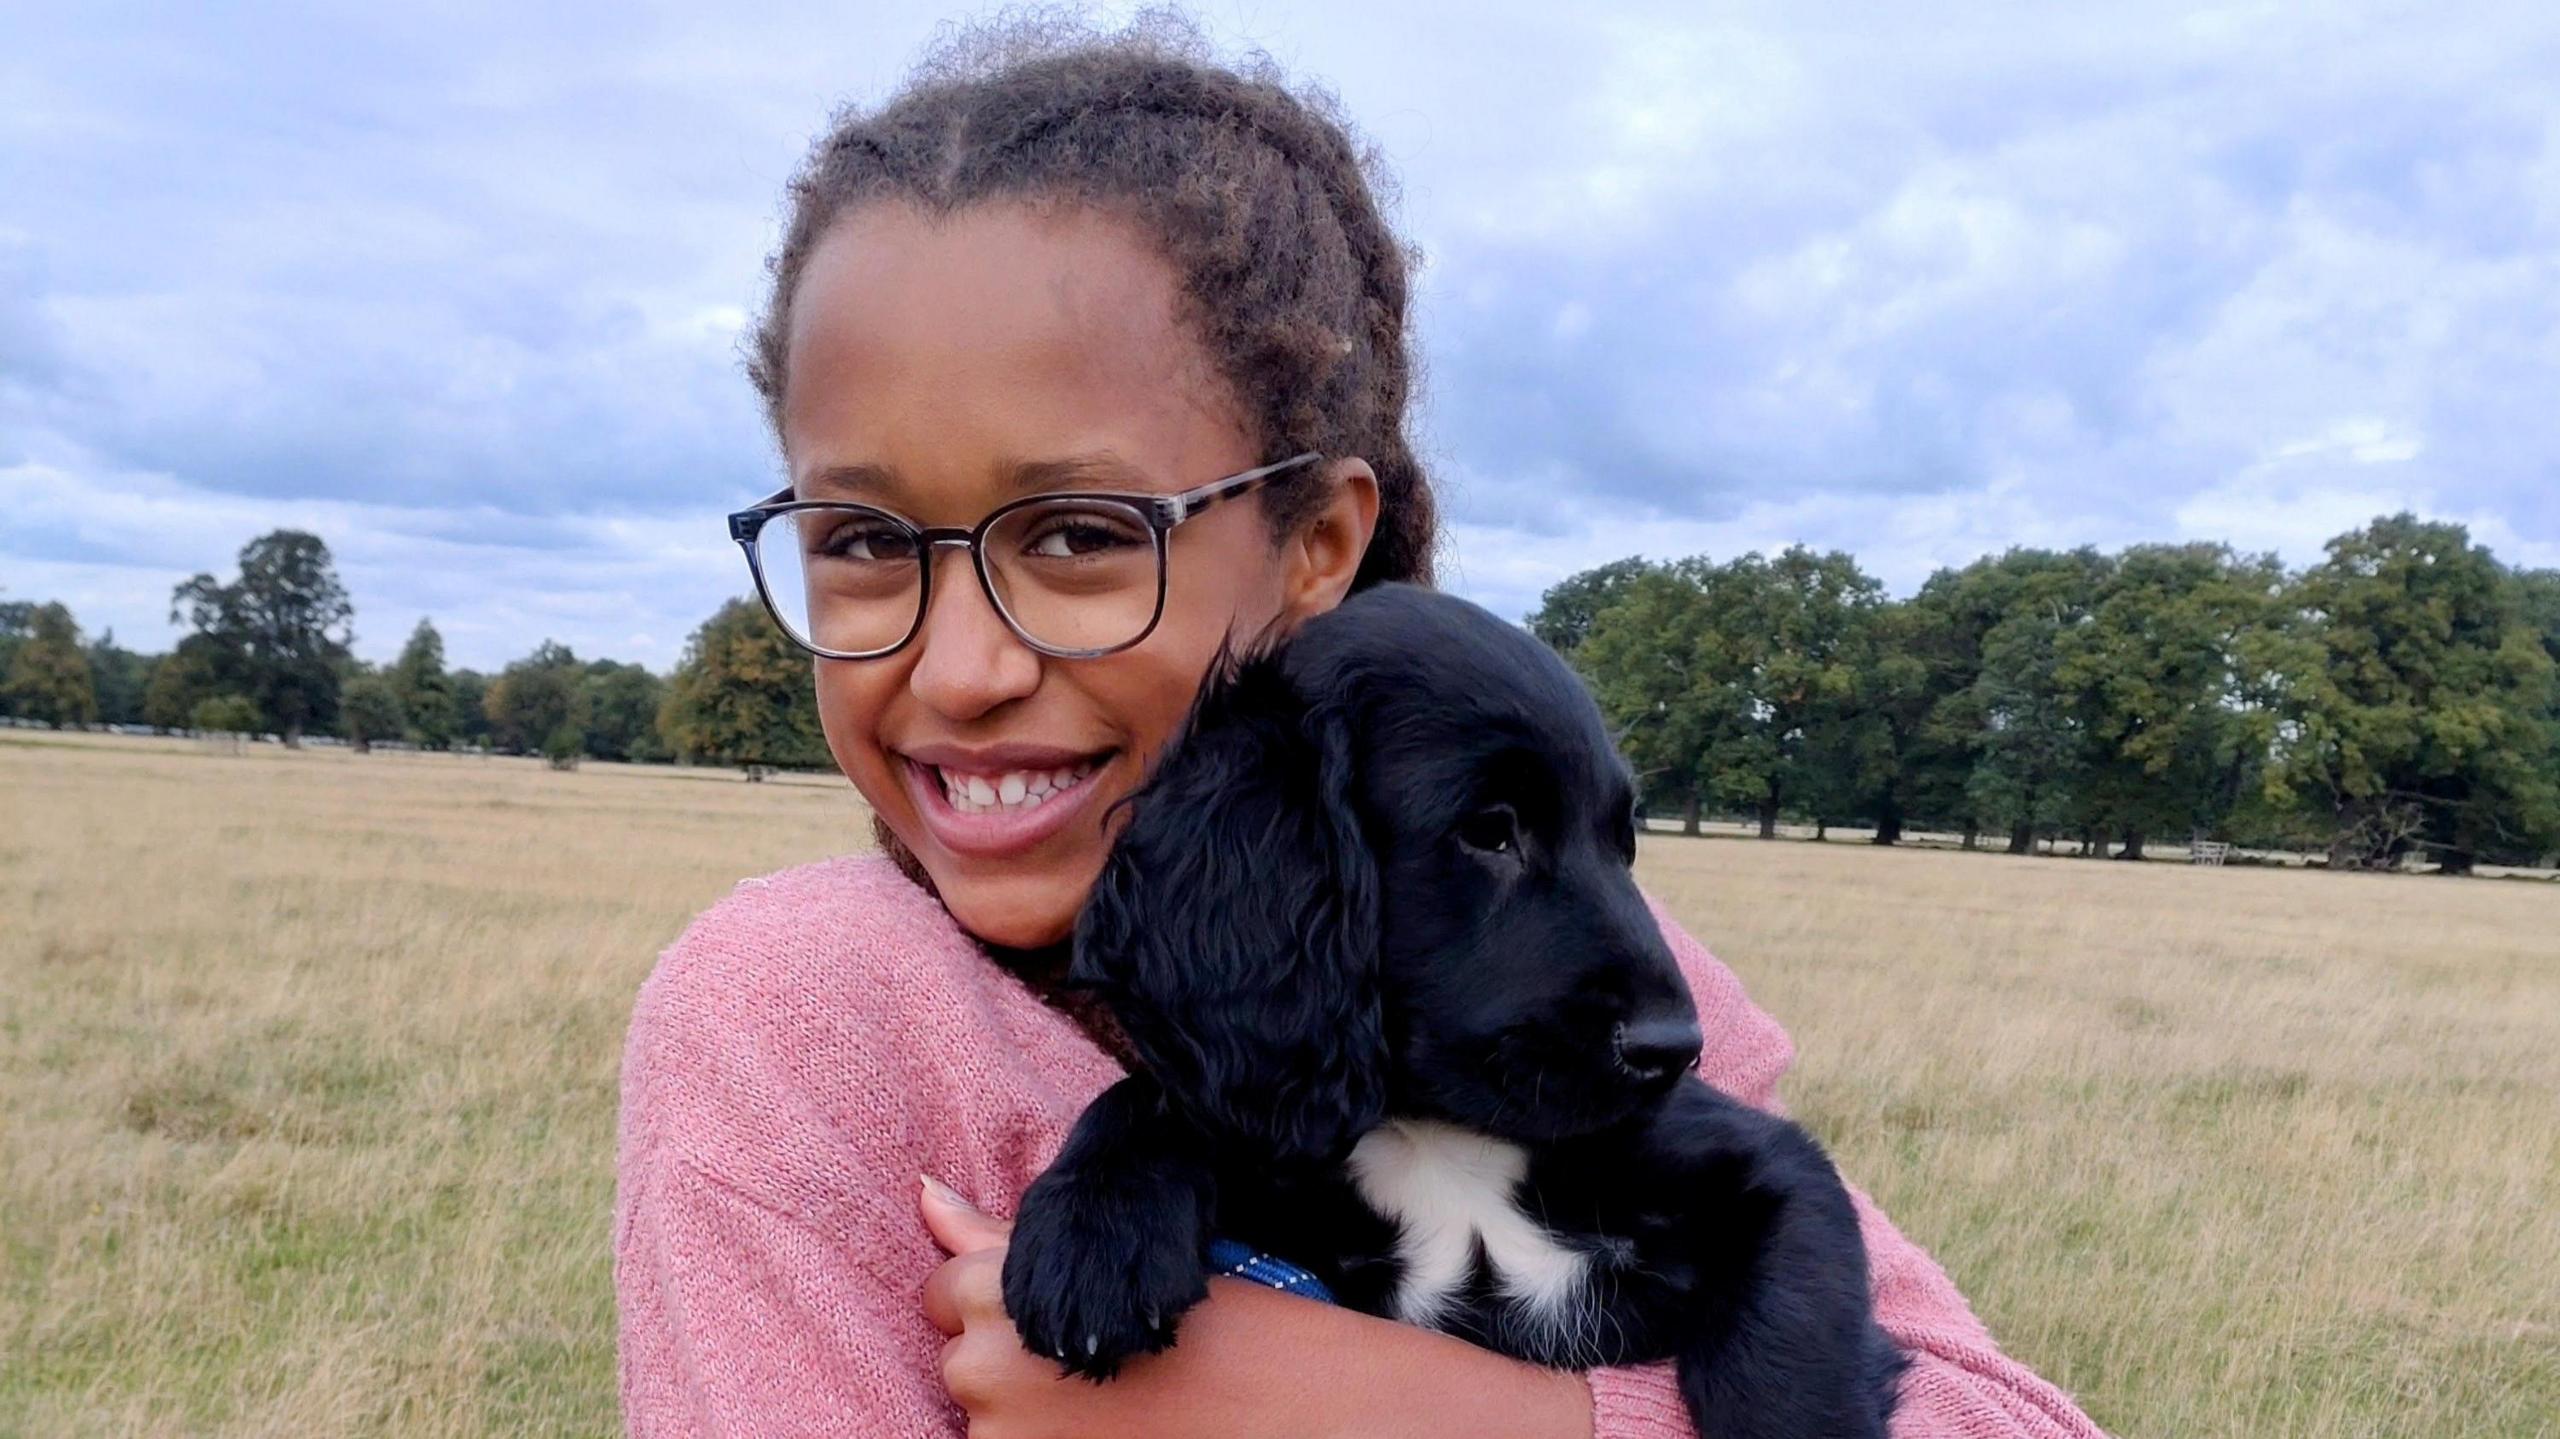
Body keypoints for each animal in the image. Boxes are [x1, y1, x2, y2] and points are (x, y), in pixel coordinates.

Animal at [1003, 583, 1904, 1433]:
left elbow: (1787, 1368)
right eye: (1489, 830)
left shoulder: (1775, 1172)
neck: (1440, 1138)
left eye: (1624, 843)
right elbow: (1163, 1096)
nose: (1675, 1050)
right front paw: (1095, 1226)